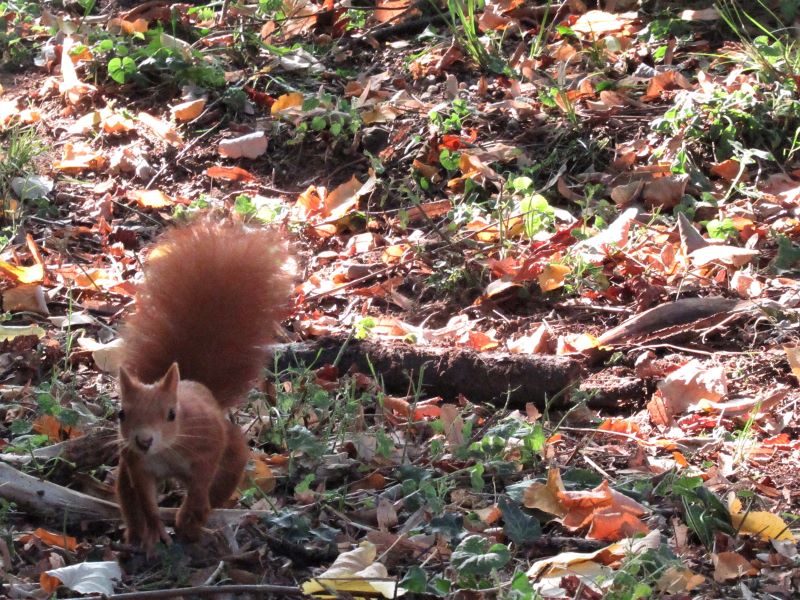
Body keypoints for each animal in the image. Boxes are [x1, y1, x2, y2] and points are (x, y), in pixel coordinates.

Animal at [112, 217, 288, 552]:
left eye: (172, 414)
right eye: (121, 414)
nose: (144, 441)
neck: (167, 449)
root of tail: (195, 382)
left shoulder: (208, 444)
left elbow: (201, 481)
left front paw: (187, 512)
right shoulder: (139, 466)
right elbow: (146, 499)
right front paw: (156, 527)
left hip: (230, 461)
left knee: (213, 492)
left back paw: (195, 527)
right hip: (125, 471)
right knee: (128, 499)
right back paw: (136, 535)